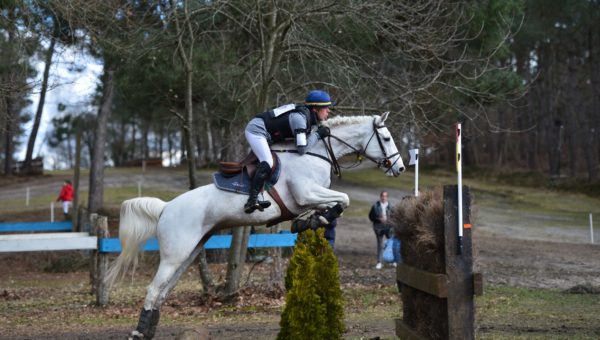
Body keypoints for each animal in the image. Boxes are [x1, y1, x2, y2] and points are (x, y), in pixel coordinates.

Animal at [108, 111, 408, 338]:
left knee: (162, 293)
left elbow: (334, 205)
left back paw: (148, 330)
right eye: (386, 138)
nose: (401, 168)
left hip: (189, 252)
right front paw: (315, 218)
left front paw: (311, 220)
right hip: (175, 254)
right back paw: (138, 333)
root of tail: (166, 208)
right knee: (153, 290)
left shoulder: (309, 197)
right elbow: (343, 198)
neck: (315, 152)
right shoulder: (306, 193)